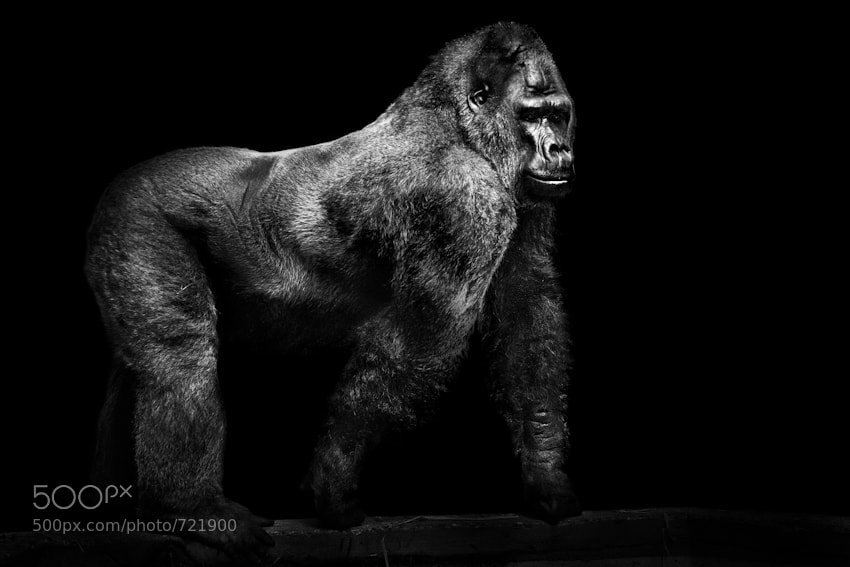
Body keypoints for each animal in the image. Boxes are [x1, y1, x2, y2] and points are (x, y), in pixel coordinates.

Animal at [85, 21, 578, 560]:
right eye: (532, 116)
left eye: (558, 116)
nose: (559, 150)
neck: (458, 124)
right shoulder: (465, 197)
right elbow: (424, 338)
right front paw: (335, 476)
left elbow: (524, 314)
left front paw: (545, 472)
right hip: (137, 217)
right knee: (180, 358)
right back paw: (190, 508)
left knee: (140, 368)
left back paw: (122, 511)